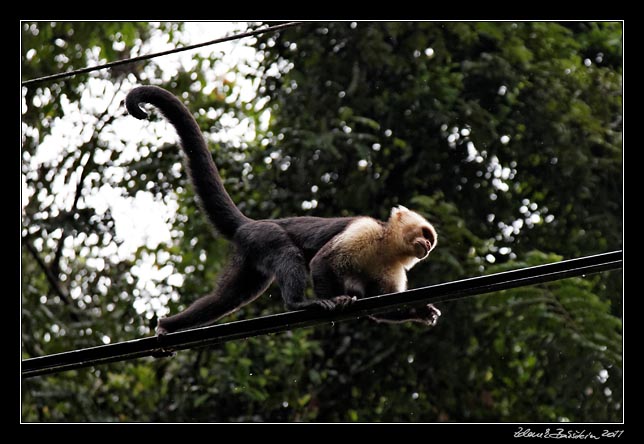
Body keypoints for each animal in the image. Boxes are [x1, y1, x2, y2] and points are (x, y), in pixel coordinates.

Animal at [124, 85, 440, 334]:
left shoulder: (392, 270)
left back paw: (169, 325)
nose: (426, 245)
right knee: (287, 253)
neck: (386, 245)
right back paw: (299, 303)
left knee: (227, 298)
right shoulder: (365, 231)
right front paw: (334, 301)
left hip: (249, 252)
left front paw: (421, 312)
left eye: (430, 240)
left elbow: (381, 305)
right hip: (263, 235)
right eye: (425, 234)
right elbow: (322, 263)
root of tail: (250, 223)